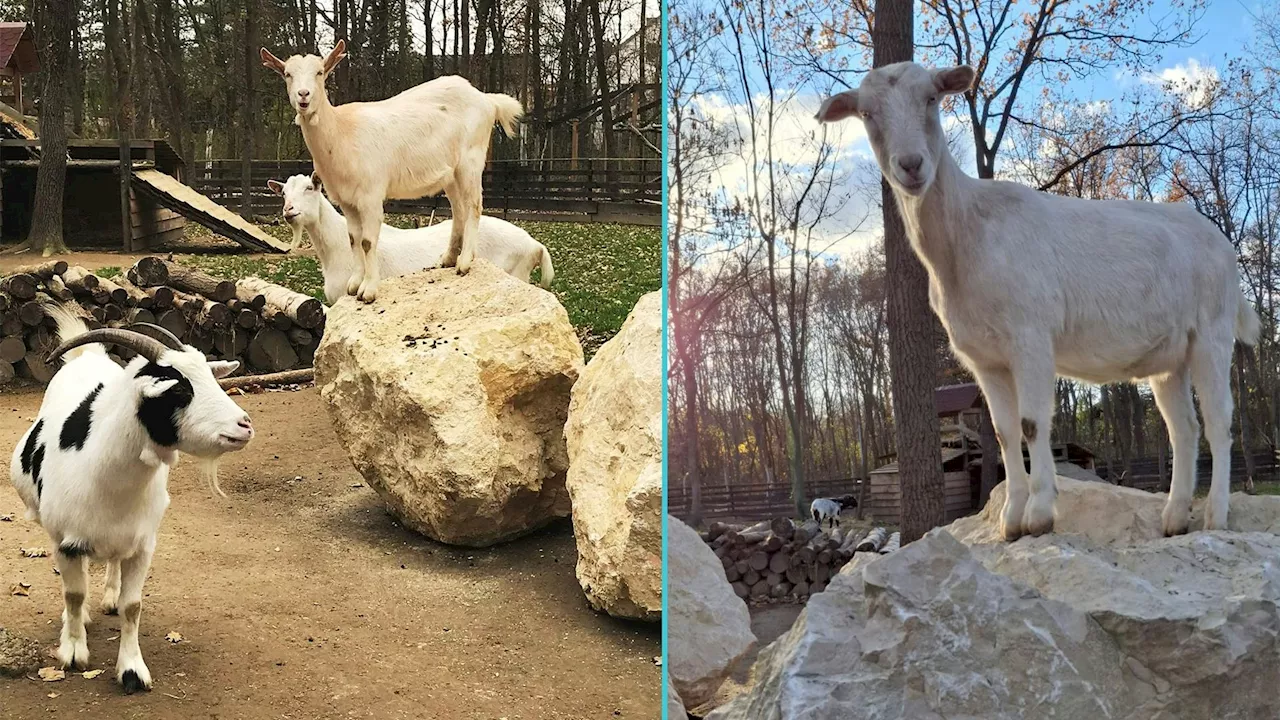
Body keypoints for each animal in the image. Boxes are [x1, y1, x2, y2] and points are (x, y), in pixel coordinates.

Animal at [9, 307, 252, 691]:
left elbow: (133, 605)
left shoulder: (143, 544)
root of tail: (87, 356)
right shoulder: (65, 542)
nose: (244, 425)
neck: (103, 474)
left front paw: (132, 670)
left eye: (209, 378)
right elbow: (73, 594)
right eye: (179, 388)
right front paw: (73, 651)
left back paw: (109, 595)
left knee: (112, 562)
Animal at [262, 40, 522, 301]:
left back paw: (465, 262)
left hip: (471, 158)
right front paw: (354, 285)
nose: (303, 95)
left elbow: (367, 242)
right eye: (287, 74)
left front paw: (368, 290)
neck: (342, 131)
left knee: (474, 205)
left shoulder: (371, 195)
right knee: (458, 209)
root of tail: (487, 100)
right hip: (451, 173)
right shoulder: (346, 200)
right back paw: (448, 259)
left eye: (319, 72)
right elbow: (353, 239)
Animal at [819, 64, 1259, 540]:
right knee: (1184, 428)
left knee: (1219, 423)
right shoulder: (983, 358)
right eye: (867, 113)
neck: (965, 238)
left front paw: (1040, 515)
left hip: (1212, 332)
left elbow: (1032, 424)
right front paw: (1010, 520)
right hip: (1168, 358)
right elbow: (1005, 432)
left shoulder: (1029, 336)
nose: (911, 165)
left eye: (932, 99)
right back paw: (1175, 518)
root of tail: (1221, 242)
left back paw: (1216, 516)